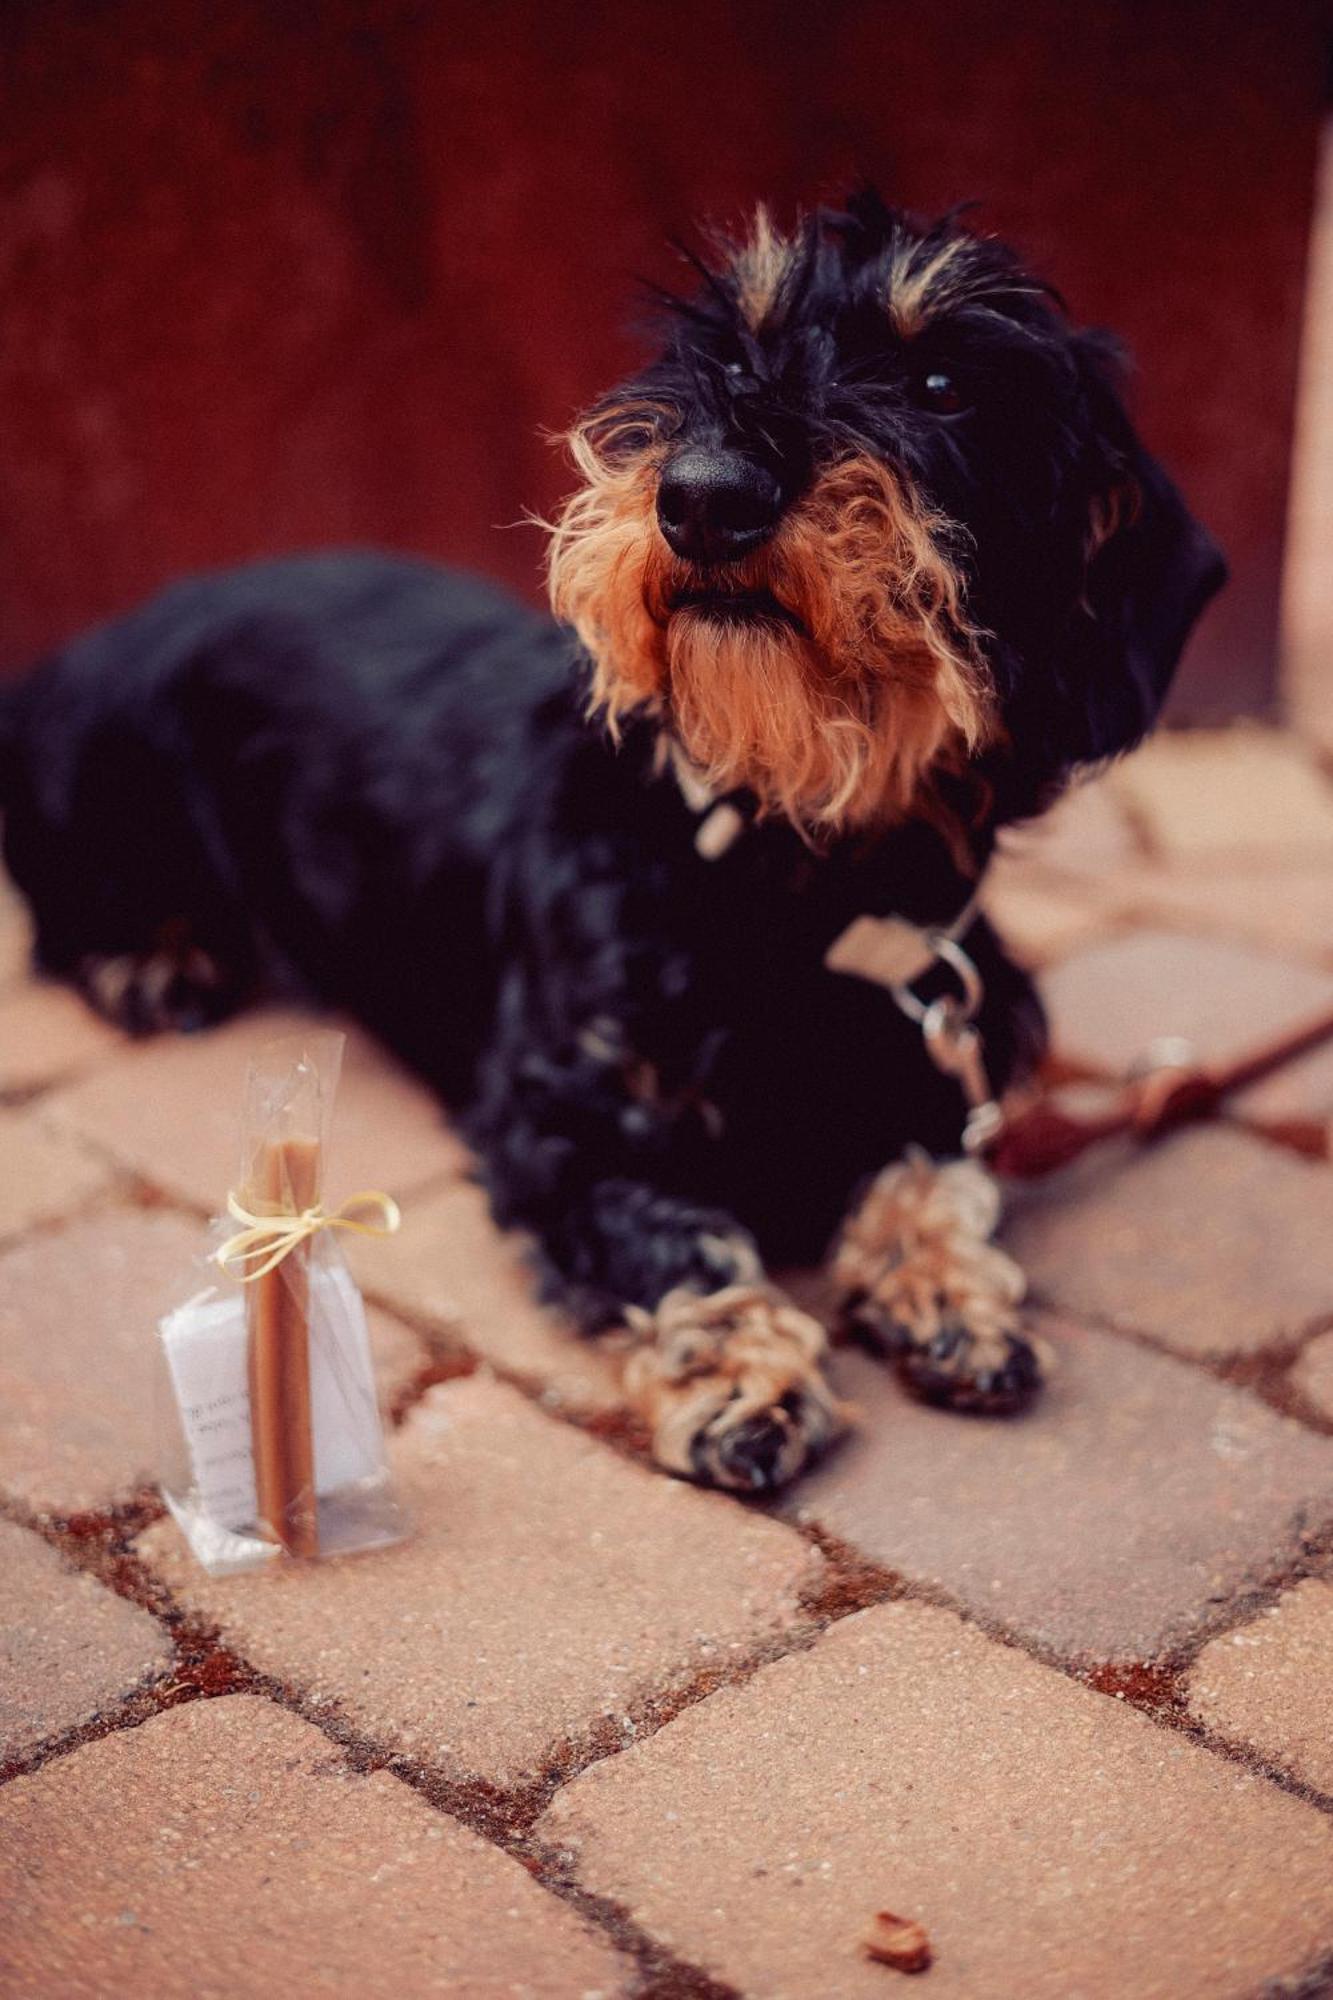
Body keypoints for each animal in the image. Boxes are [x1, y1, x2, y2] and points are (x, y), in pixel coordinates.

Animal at [2, 195, 1224, 1496]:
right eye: (726, 352)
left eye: (942, 381)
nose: (703, 494)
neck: (783, 870)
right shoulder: (559, 1118)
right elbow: (683, 1240)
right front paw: (744, 1376)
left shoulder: (947, 1053)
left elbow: (930, 1181)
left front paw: (951, 1297)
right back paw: (150, 962)